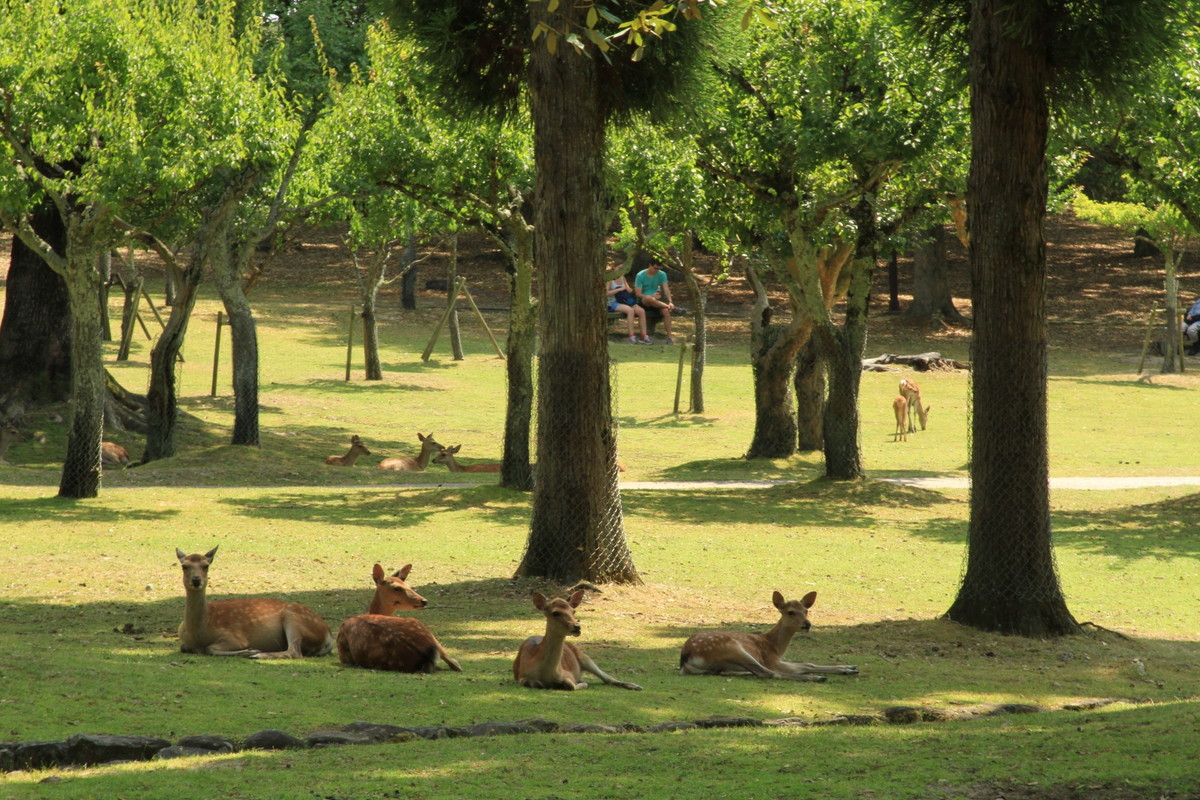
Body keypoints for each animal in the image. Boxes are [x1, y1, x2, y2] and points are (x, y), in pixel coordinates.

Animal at [175, 546, 333, 662]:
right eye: (184, 566)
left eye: (206, 566)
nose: (196, 580)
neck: (200, 631)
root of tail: (328, 636)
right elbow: (184, 647)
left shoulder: (235, 637)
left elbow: (210, 648)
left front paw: (251, 650)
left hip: (294, 618)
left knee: (294, 652)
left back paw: (258, 654)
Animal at [516, 592, 648, 690]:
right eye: (555, 613)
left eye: (573, 611)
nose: (577, 627)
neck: (546, 672)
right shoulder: (521, 675)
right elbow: (534, 683)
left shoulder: (567, 673)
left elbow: (571, 685)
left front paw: (581, 682)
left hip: (584, 656)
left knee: (607, 678)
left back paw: (636, 686)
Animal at [681, 587, 859, 681]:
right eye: (790, 612)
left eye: (806, 610)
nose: (807, 624)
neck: (775, 647)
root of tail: (685, 659)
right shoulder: (771, 660)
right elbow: (803, 667)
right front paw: (845, 669)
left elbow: (808, 664)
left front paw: (849, 667)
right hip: (731, 648)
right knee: (769, 673)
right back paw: (817, 678)